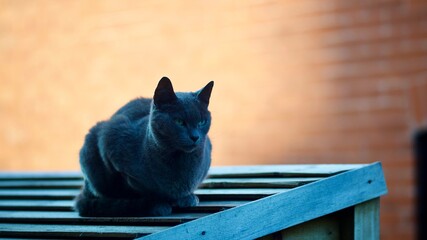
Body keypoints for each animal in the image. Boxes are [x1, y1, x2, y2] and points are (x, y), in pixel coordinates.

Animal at [75, 77, 214, 218]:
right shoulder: (110, 140)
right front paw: (156, 203)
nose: (195, 137)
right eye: (179, 121)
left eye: (202, 122)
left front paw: (186, 198)